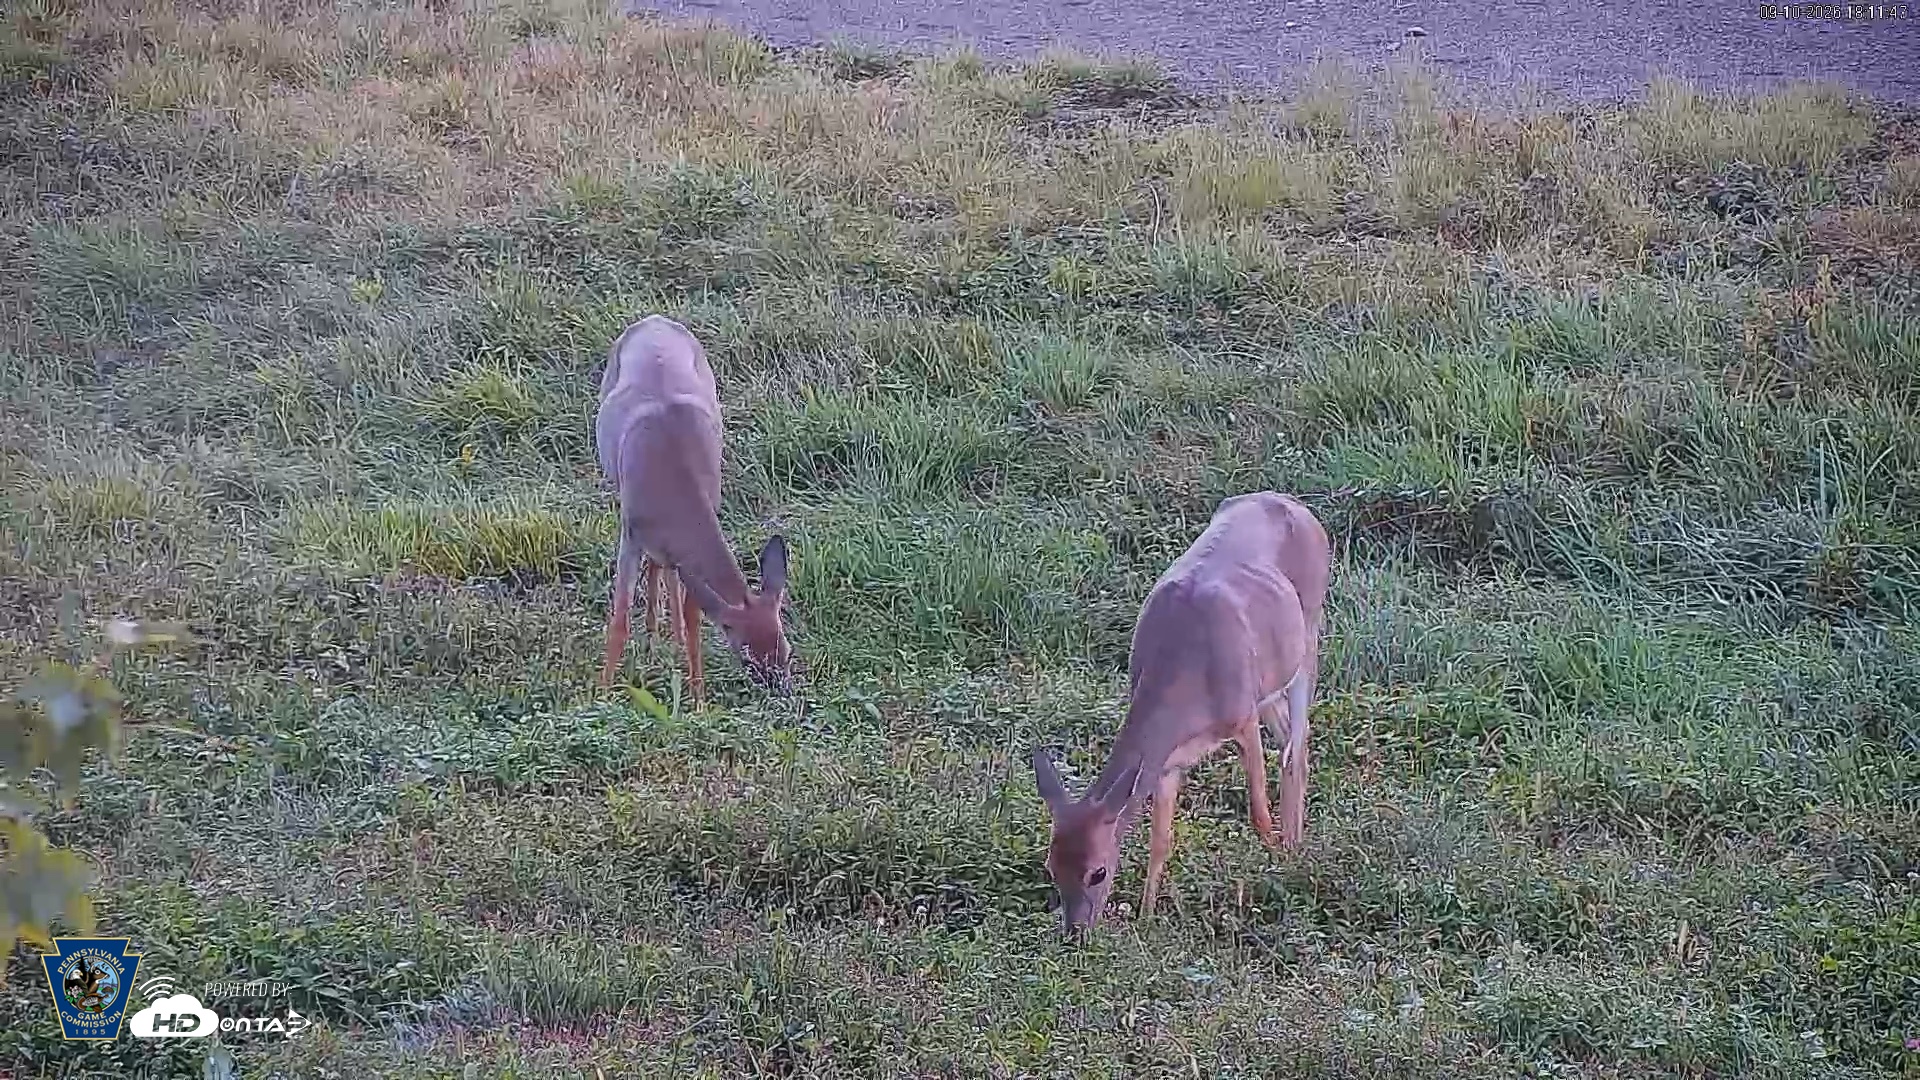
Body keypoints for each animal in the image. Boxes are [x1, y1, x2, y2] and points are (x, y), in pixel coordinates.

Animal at [595, 314, 793, 705]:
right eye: (747, 658)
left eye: (786, 650)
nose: (784, 693)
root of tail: (654, 319)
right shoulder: (629, 532)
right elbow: (620, 616)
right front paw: (603, 694)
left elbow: (693, 616)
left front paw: (698, 698)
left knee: (666, 570)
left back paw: (663, 636)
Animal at [1032, 491, 1330, 935]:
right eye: (1051, 867)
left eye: (1097, 872)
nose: (1075, 933)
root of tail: (1297, 506)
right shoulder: (1167, 761)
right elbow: (1160, 840)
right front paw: (1146, 916)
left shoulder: (1242, 718)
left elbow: (1258, 811)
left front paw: (1277, 862)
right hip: (1271, 684)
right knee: (1291, 743)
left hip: (1308, 638)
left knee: (1298, 745)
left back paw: (1294, 850)